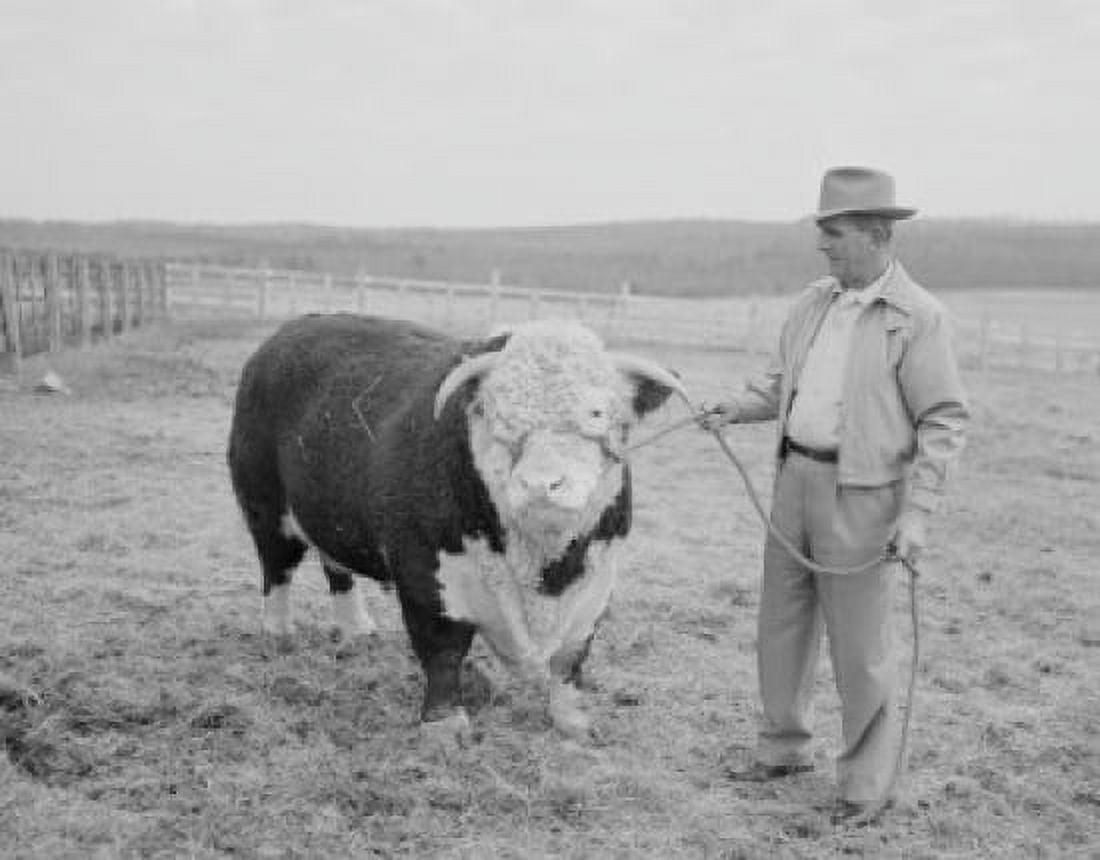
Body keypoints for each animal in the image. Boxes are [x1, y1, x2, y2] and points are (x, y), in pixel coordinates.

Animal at [227, 314, 686, 740]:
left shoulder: (596, 581)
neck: (543, 568)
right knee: (277, 570)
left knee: (335, 566)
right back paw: (279, 634)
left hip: (331, 513)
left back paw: (357, 629)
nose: (541, 484)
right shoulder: (426, 576)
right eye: (497, 414)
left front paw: (572, 722)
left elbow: (570, 660)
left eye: (597, 412)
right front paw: (445, 725)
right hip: (265, 507)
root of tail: (295, 328)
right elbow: (443, 650)